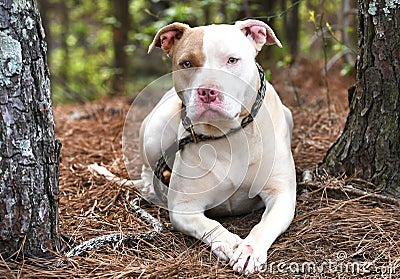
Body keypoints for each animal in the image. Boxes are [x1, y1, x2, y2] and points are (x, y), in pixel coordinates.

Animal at [138, 19, 296, 276]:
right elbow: (210, 224)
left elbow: (264, 225)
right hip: (155, 128)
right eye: (187, 63)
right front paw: (229, 242)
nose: (207, 91)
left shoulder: (281, 195)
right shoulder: (184, 207)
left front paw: (249, 250)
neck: (227, 135)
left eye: (232, 60)